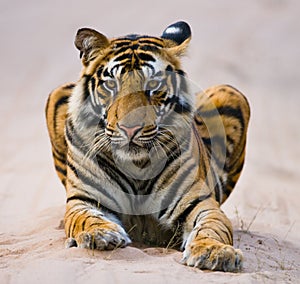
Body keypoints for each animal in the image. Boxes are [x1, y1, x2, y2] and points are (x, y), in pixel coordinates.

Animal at [45, 21, 251, 272]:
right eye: (111, 84)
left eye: (153, 84)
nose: (130, 129)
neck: (136, 166)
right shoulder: (84, 200)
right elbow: (86, 219)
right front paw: (101, 235)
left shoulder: (200, 203)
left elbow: (212, 227)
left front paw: (215, 252)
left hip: (231, 93)